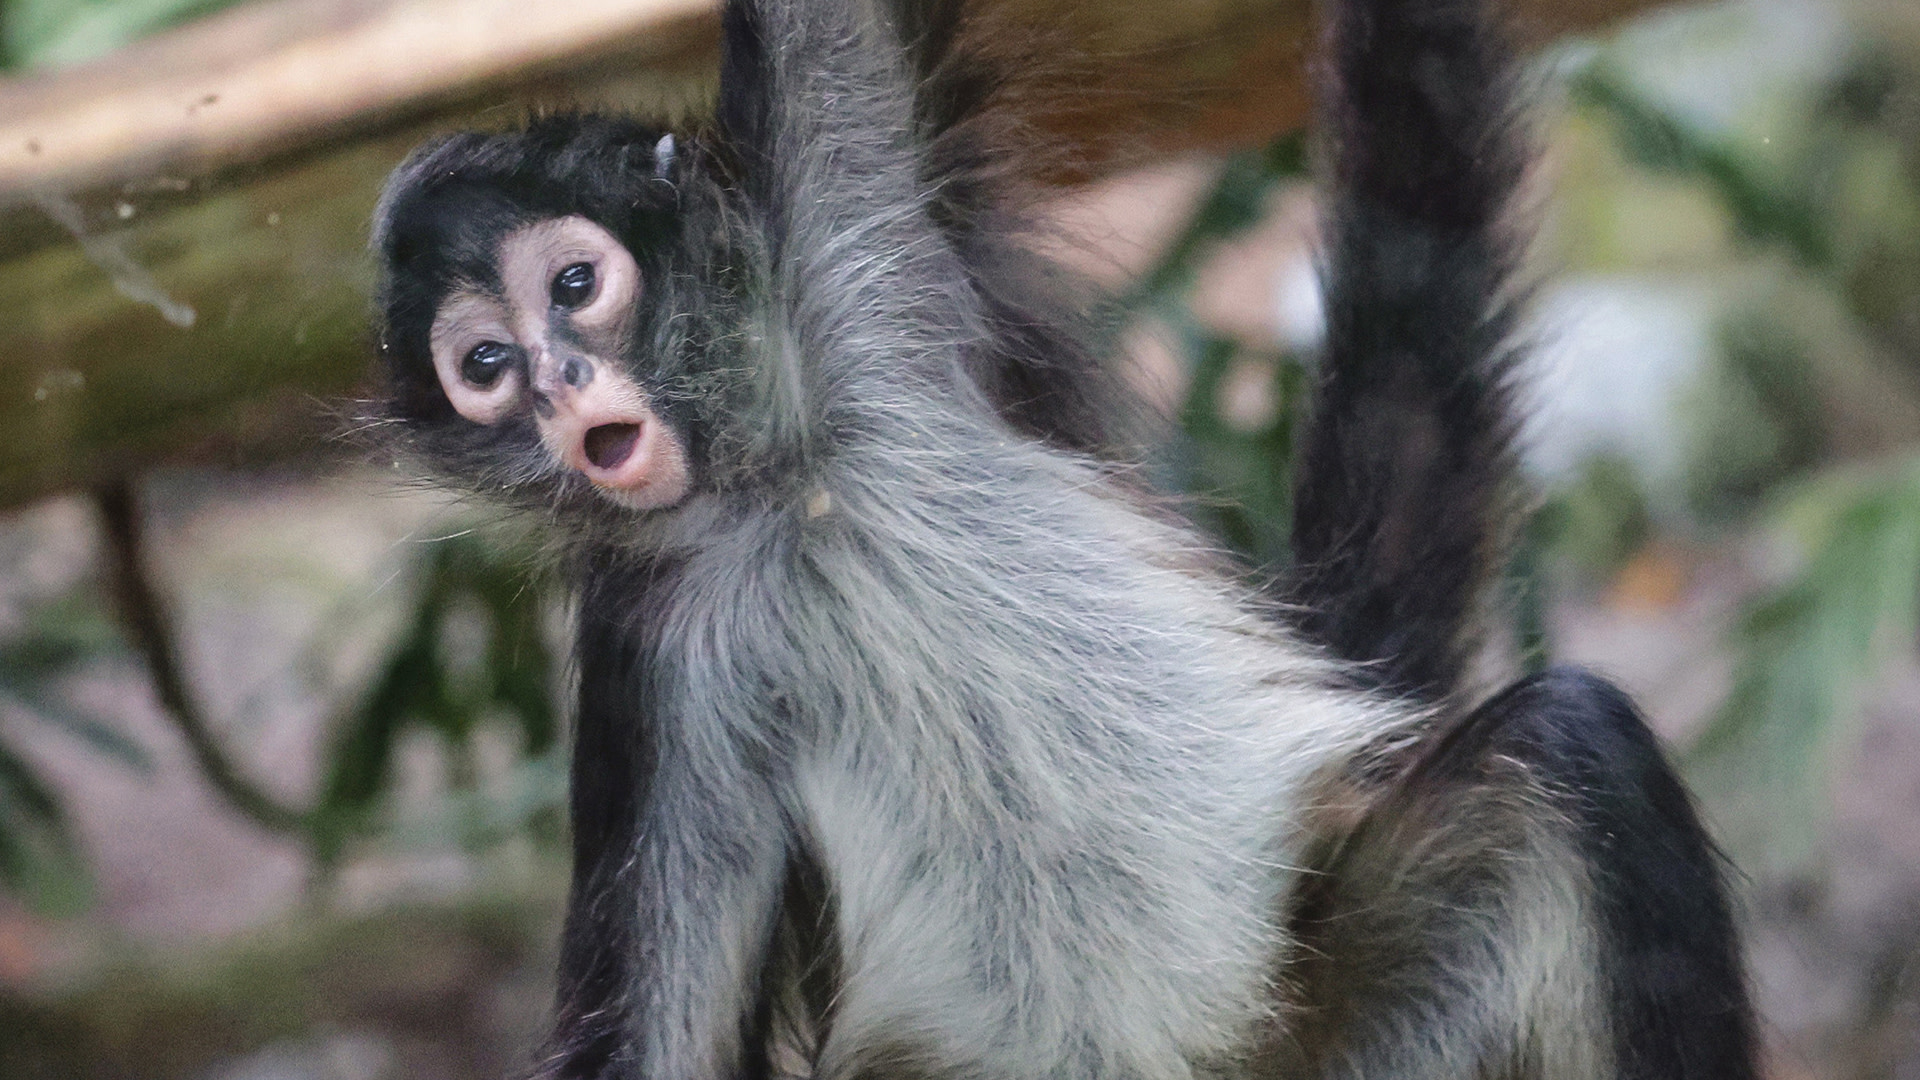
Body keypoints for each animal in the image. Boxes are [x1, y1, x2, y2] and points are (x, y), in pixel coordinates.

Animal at [367, 0, 1760, 1076]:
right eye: (484, 368)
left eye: (576, 286)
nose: (561, 392)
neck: (785, 489)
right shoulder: (654, 657)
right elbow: (657, 1045)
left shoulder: (849, 231)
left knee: (1568, 744)